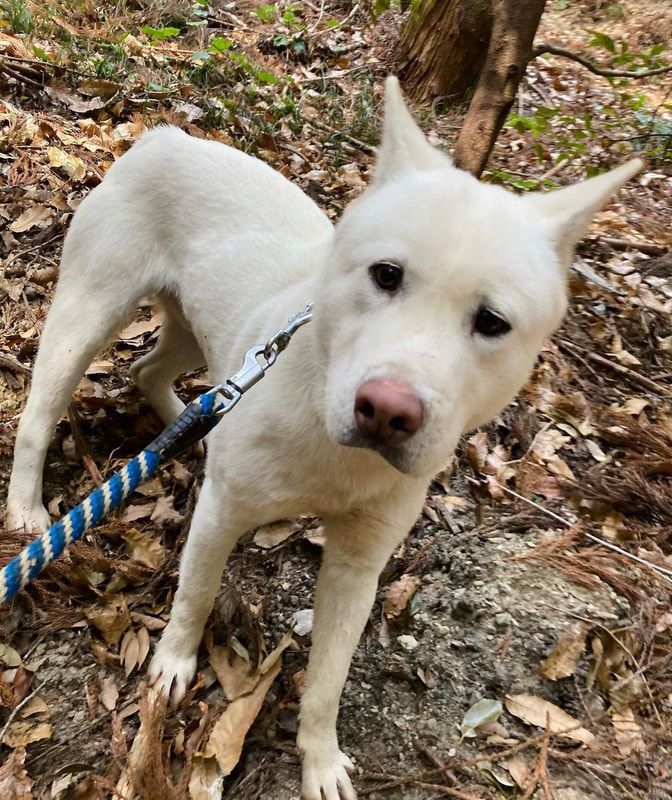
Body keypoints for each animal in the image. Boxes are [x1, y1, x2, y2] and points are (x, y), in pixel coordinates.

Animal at [7, 76, 644, 800]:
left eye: (492, 321)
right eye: (386, 274)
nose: (386, 411)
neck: (328, 433)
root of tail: (165, 138)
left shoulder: (359, 565)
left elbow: (329, 677)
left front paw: (318, 758)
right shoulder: (221, 513)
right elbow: (196, 594)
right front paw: (174, 663)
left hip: (198, 331)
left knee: (152, 371)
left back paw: (191, 422)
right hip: (90, 311)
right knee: (41, 409)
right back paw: (27, 506)